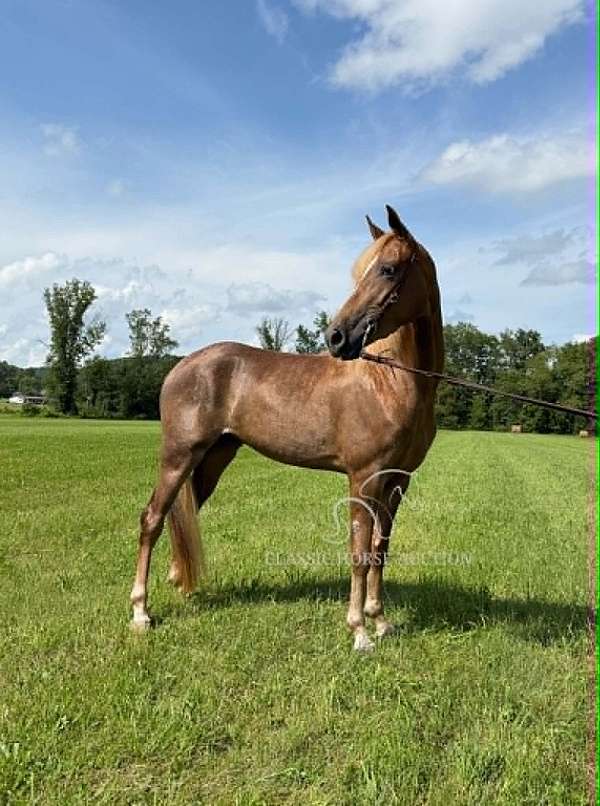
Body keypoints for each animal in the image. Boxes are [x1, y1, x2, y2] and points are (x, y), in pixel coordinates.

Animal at [130, 205, 444, 651]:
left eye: (388, 269)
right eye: (362, 271)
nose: (337, 337)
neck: (392, 383)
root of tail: (182, 366)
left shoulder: (398, 481)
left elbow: (379, 551)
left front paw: (380, 621)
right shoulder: (363, 479)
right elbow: (359, 554)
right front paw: (359, 631)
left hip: (212, 460)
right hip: (178, 457)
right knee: (151, 519)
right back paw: (141, 612)